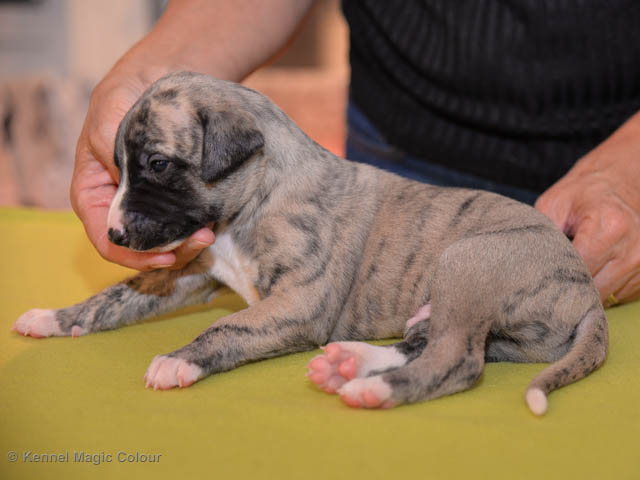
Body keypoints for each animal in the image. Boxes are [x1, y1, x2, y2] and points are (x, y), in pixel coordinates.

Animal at [13, 72, 608, 415]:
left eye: (157, 164)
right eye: (118, 168)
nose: (113, 233)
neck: (258, 196)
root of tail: (587, 293)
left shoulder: (299, 302)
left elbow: (228, 326)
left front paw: (179, 361)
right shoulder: (190, 274)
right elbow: (117, 295)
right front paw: (53, 318)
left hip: (467, 264)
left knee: (458, 359)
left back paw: (372, 391)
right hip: (458, 307)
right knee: (430, 342)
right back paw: (349, 364)